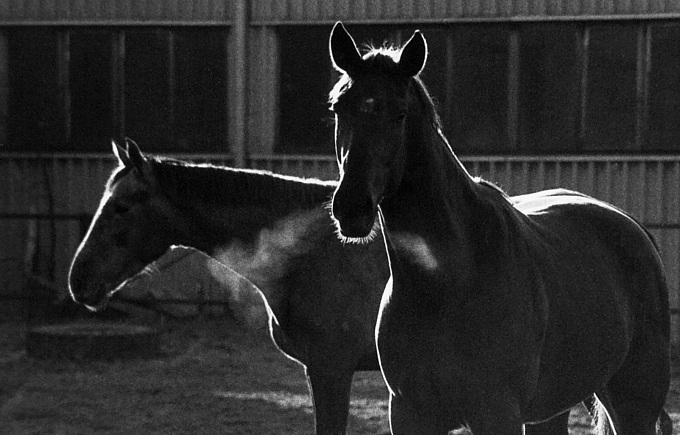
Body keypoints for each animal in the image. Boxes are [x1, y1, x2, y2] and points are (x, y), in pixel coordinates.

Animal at [330, 22, 676, 434]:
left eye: (399, 113)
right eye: (338, 107)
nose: (351, 207)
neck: (446, 283)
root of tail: (635, 229)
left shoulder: (496, 412)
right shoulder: (410, 412)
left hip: (633, 404)